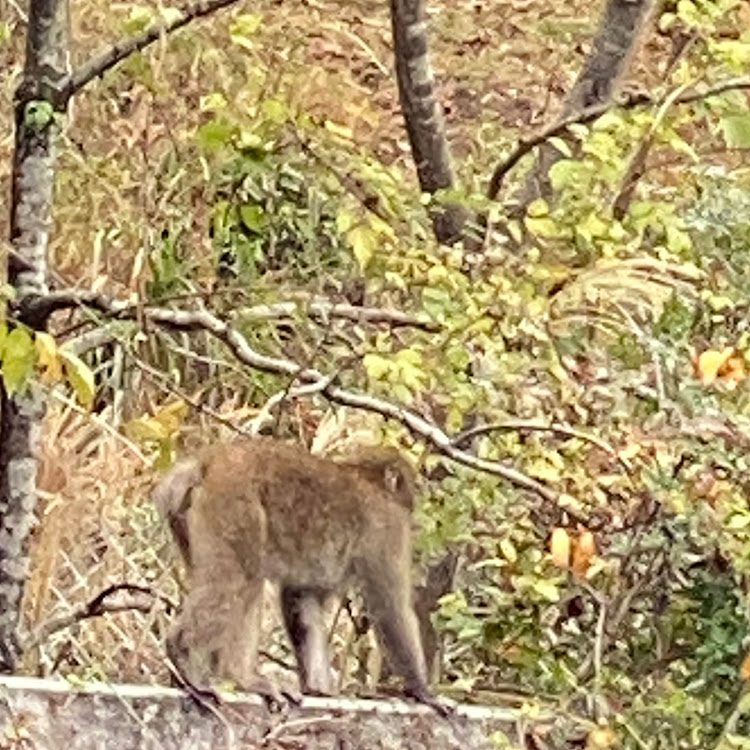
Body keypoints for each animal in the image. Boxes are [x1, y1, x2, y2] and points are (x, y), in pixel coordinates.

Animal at [151, 440, 450, 716]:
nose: (415, 501)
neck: (366, 475)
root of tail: (208, 460)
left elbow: (301, 599)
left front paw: (318, 689)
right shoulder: (387, 527)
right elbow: (390, 606)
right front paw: (423, 691)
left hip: (189, 519)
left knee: (247, 583)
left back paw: (241, 677)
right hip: (234, 503)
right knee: (240, 578)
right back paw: (186, 657)